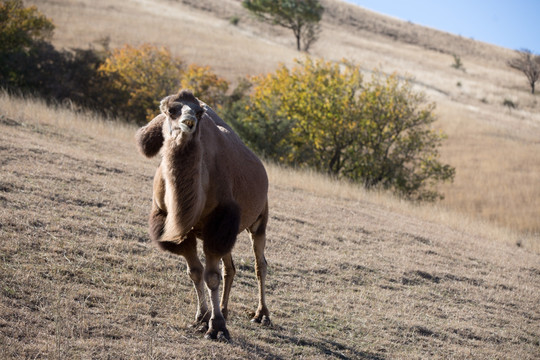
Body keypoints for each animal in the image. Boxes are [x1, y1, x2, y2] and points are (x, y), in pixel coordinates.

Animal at [135, 90, 270, 340]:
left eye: (198, 112)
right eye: (171, 110)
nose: (189, 121)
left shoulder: (219, 221)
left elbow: (211, 277)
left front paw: (216, 327)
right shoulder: (176, 227)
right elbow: (196, 272)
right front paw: (202, 317)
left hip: (258, 220)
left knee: (260, 264)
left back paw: (262, 315)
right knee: (230, 268)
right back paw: (225, 309)